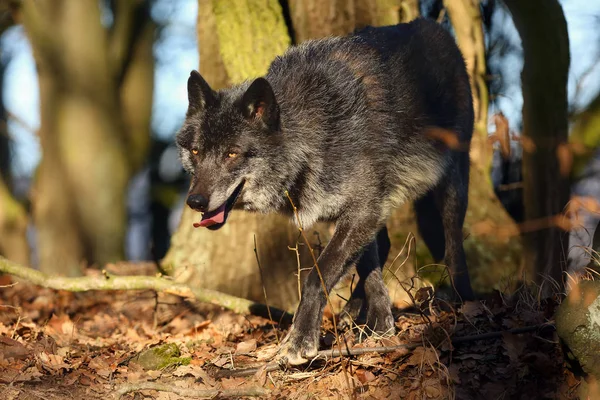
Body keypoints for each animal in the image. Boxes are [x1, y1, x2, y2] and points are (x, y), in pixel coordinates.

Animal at [176, 17, 476, 364]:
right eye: (196, 151)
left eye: (232, 153)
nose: (195, 201)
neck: (313, 133)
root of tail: (433, 26)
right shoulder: (359, 211)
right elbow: (368, 270)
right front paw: (380, 325)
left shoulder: (362, 210)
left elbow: (315, 278)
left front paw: (301, 341)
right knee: (382, 246)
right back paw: (352, 313)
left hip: (451, 182)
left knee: (453, 239)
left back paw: (462, 299)